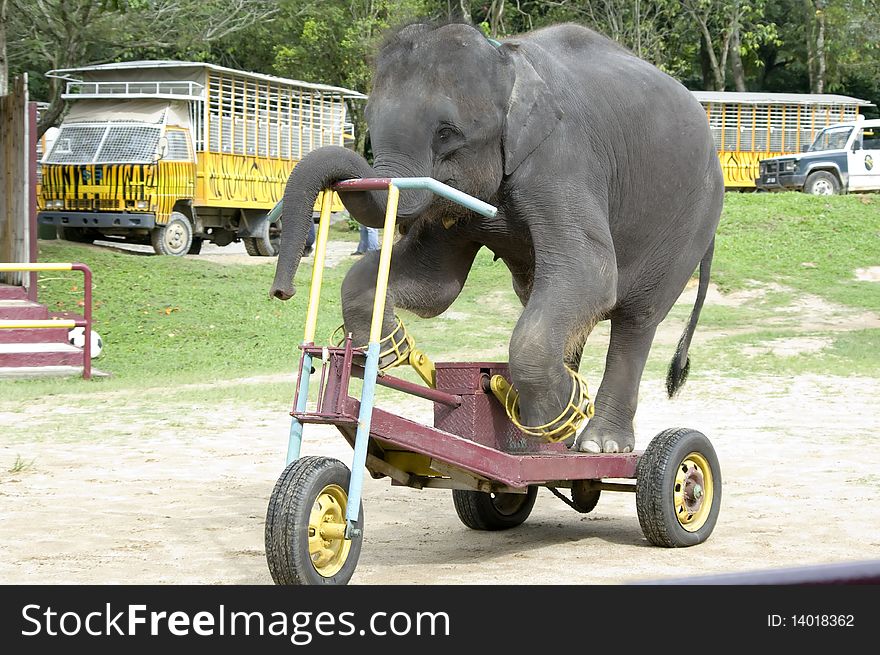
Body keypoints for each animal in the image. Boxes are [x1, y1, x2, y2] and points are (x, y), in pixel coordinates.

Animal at [268, 19, 720, 452]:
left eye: (446, 133)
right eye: (370, 127)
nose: (282, 291)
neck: (507, 60)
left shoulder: (563, 158)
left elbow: (591, 272)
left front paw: (553, 408)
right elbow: (436, 284)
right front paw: (388, 348)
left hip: (688, 225)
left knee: (636, 319)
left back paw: (595, 441)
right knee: (554, 301)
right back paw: (564, 429)